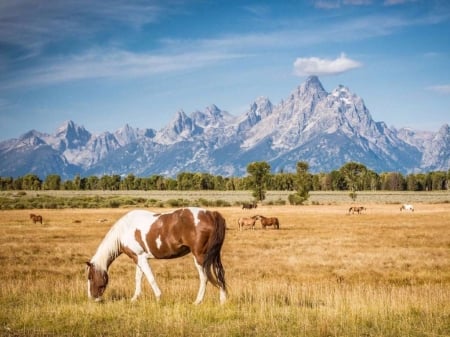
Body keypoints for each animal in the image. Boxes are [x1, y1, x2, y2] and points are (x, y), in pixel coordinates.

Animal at [87, 206, 229, 304]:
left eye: (90, 277)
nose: (92, 298)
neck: (125, 230)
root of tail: (212, 214)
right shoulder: (138, 258)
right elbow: (138, 278)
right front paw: (134, 298)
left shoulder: (141, 258)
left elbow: (150, 278)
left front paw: (159, 297)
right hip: (213, 257)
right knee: (219, 275)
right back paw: (222, 300)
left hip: (199, 258)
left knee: (204, 278)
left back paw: (197, 301)